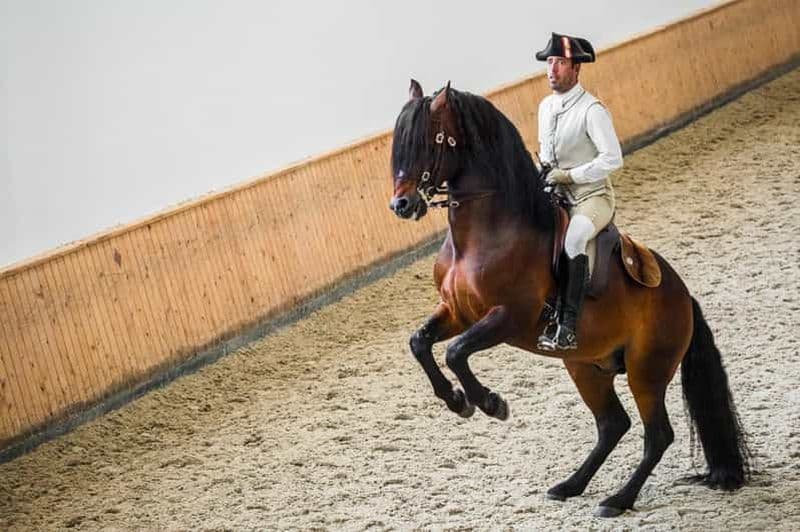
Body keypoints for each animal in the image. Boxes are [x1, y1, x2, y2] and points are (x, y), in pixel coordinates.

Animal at [388, 79, 750, 517]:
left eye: (433, 140)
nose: (402, 205)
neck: (486, 234)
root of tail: (683, 296)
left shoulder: (509, 318)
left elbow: (456, 352)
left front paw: (491, 403)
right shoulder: (457, 312)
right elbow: (420, 343)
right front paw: (457, 401)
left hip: (646, 371)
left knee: (657, 435)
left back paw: (617, 500)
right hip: (585, 366)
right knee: (613, 425)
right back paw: (570, 485)